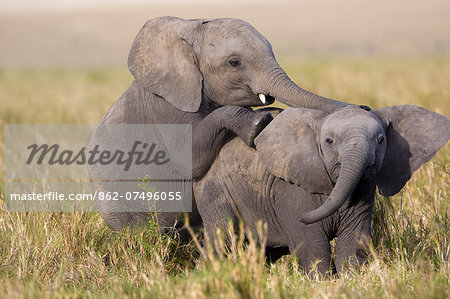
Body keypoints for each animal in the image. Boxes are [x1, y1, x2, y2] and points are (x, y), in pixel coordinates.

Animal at [194, 105, 450, 274]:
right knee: (222, 237)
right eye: (329, 141)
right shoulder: (291, 189)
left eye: (380, 140)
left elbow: (353, 242)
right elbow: (312, 246)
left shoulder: (365, 190)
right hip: (214, 188)